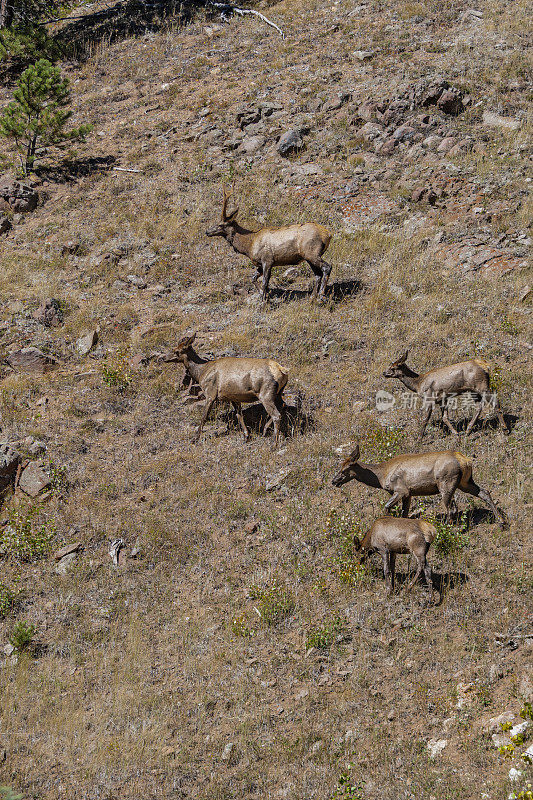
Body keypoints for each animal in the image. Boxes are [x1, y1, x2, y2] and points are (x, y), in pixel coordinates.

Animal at [330, 446, 504, 528]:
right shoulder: (409, 494)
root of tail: (465, 461)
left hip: (446, 482)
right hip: (465, 482)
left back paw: (448, 529)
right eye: (339, 466)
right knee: (485, 492)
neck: (381, 476)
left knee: (451, 507)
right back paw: (501, 521)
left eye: (344, 469)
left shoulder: (401, 490)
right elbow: (404, 513)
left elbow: (387, 507)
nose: (334, 481)